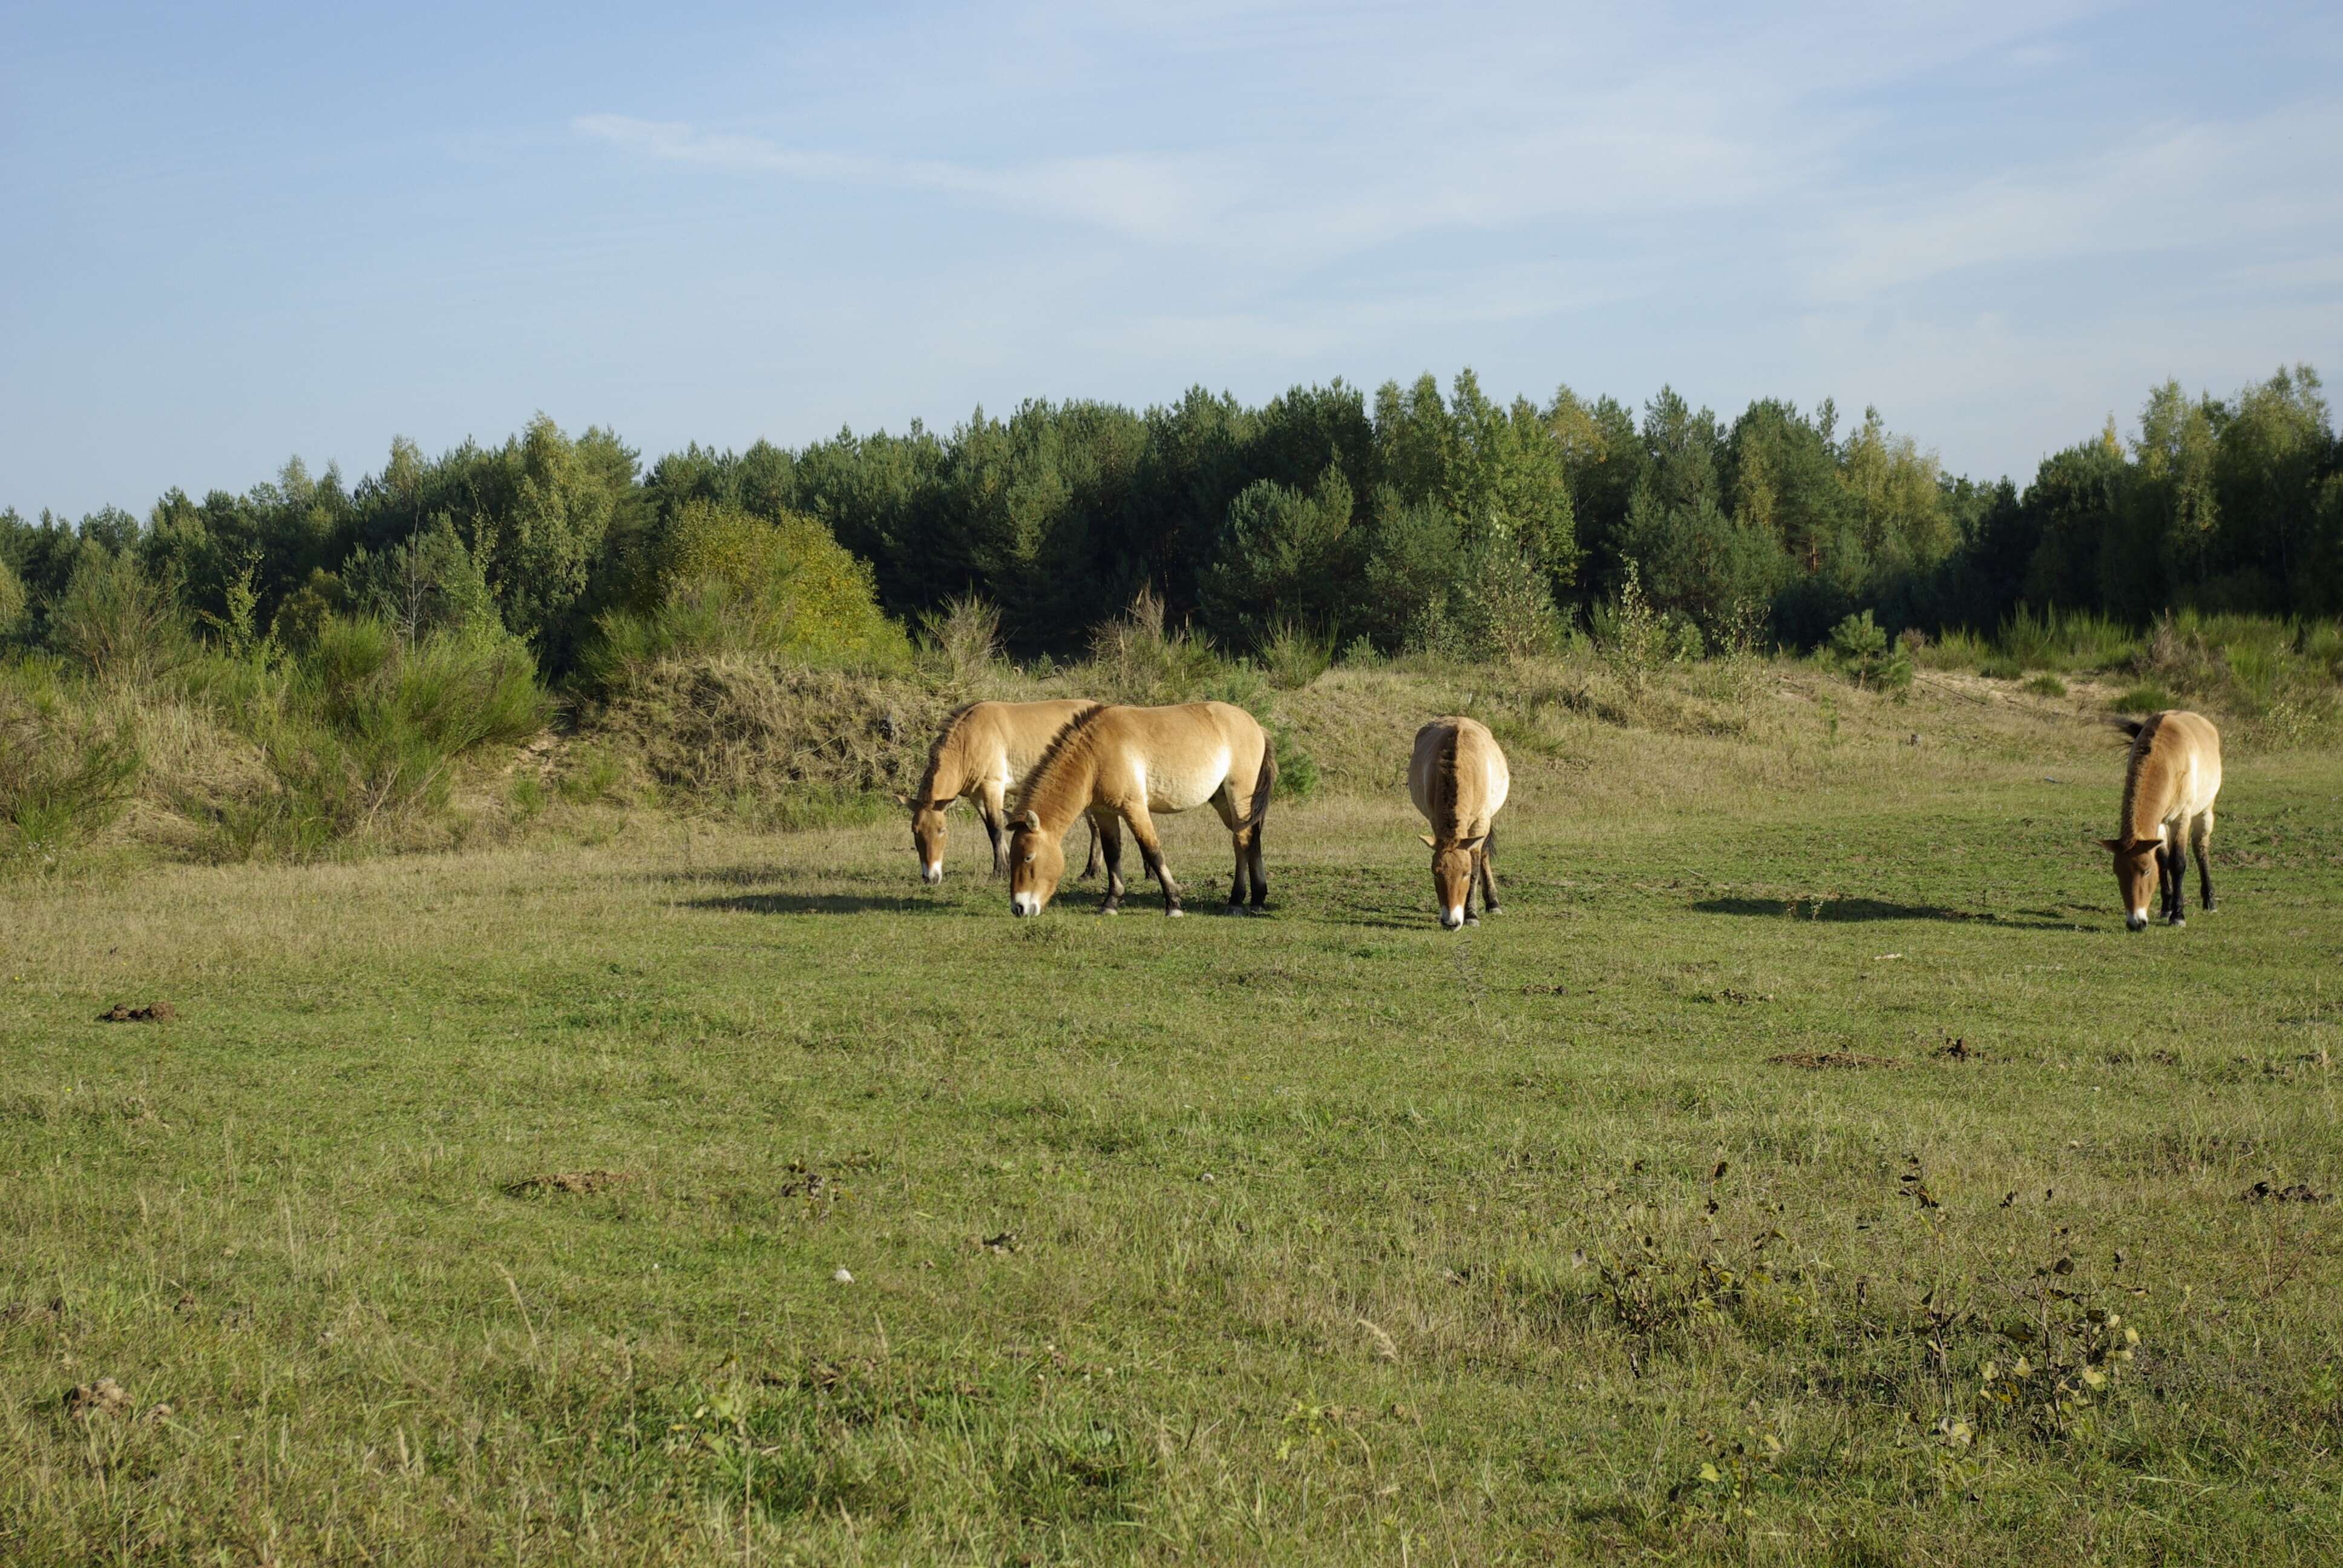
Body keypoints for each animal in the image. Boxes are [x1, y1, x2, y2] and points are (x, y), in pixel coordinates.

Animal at [904, 698, 1106, 881]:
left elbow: (996, 828)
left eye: (942, 830)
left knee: (1096, 828)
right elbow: (991, 829)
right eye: (915, 831)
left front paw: (999, 871)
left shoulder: (993, 787)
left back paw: (1090, 872)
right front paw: (1008, 867)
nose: (930, 877)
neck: (970, 739)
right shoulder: (977, 796)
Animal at [1003, 698, 1274, 918]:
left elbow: (1153, 851)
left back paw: (1237, 901)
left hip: (1239, 796)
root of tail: (1256, 727)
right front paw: (1110, 903)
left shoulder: (1134, 808)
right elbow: (1112, 854)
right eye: (1012, 857)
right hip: (1223, 801)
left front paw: (1173, 905)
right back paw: (1257, 900)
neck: (1095, 756)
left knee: (1243, 840)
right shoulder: (1105, 813)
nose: (1019, 908)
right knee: (1249, 840)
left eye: (1028, 857)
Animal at [1396, 712, 1509, 923]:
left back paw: (1493, 903)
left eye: (1465, 873)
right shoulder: (1434, 820)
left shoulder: (1480, 822)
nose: (1450, 920)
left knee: (1484, 855)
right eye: (1436, 872)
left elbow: (1476, 863)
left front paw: (1471, 913)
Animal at [2108, 708, 2212, 928]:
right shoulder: (2160, 823)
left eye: (2146, 871)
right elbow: (2163, 861)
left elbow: (2178, 863)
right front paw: (2166, 909)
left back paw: (2210, 901)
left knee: (2201, 848)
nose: (2135, 923)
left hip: (2205, 811)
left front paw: (2178, 916)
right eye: (2117, 872)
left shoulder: (2181, 819)